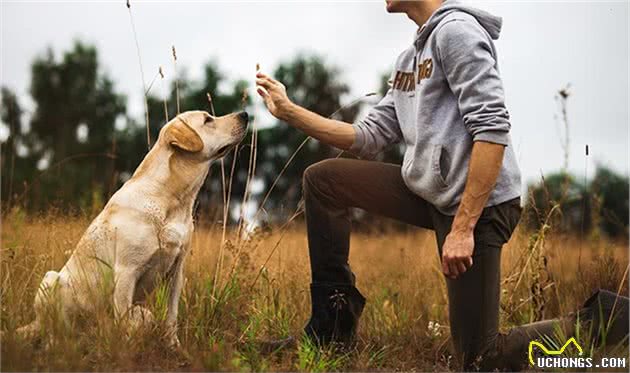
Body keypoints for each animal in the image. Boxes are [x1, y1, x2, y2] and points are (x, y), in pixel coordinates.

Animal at [14, 109, 247, 344]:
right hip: (50, 279)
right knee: (53, 331)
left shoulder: (176, 272)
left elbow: (171, 316)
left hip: (144, 312)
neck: (171, 199)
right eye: (208, 120)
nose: (245, 114)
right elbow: (124, 322)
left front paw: (174, 345)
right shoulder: (126, 272)